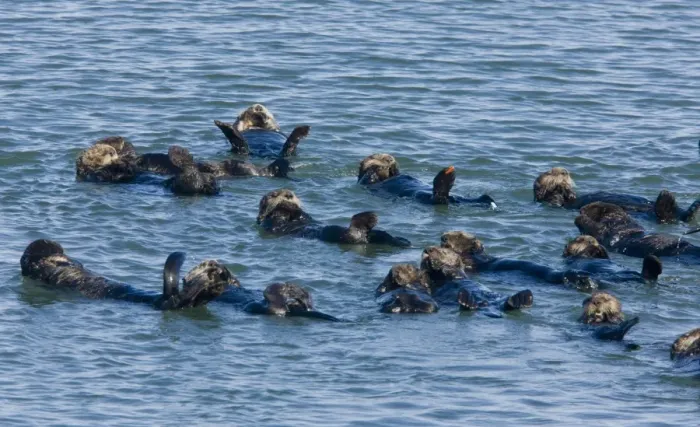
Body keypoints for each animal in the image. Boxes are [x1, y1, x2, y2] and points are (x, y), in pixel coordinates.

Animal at [257, 189, 411, 247]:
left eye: (293, 194)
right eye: (274, 194)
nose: (289, 195)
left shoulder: (305, 217)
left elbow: (305, 216)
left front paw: (292, 205)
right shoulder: (271, 224)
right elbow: (275, 218)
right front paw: (283, 206)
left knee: (381, 236)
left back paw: (402, 240)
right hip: (339, 234)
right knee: (354, 233)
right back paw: (369, 218)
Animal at [357, 154, 497, 207]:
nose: (390, 159)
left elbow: (397, 173)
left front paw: (394, 166)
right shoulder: (367, 183)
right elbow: (368, 176)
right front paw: (376, 166)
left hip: (461, 199)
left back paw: (486, 199)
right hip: (430, 198)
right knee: (439, 198)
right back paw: (446, 177)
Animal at [534, 167, 699, 223]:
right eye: (550, 172)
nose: (565, 172)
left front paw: (569, 190)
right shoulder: (552, 201)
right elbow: (554, 199)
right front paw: (561, 188)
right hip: (659, 214)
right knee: (667, 215)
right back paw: (668, 197)